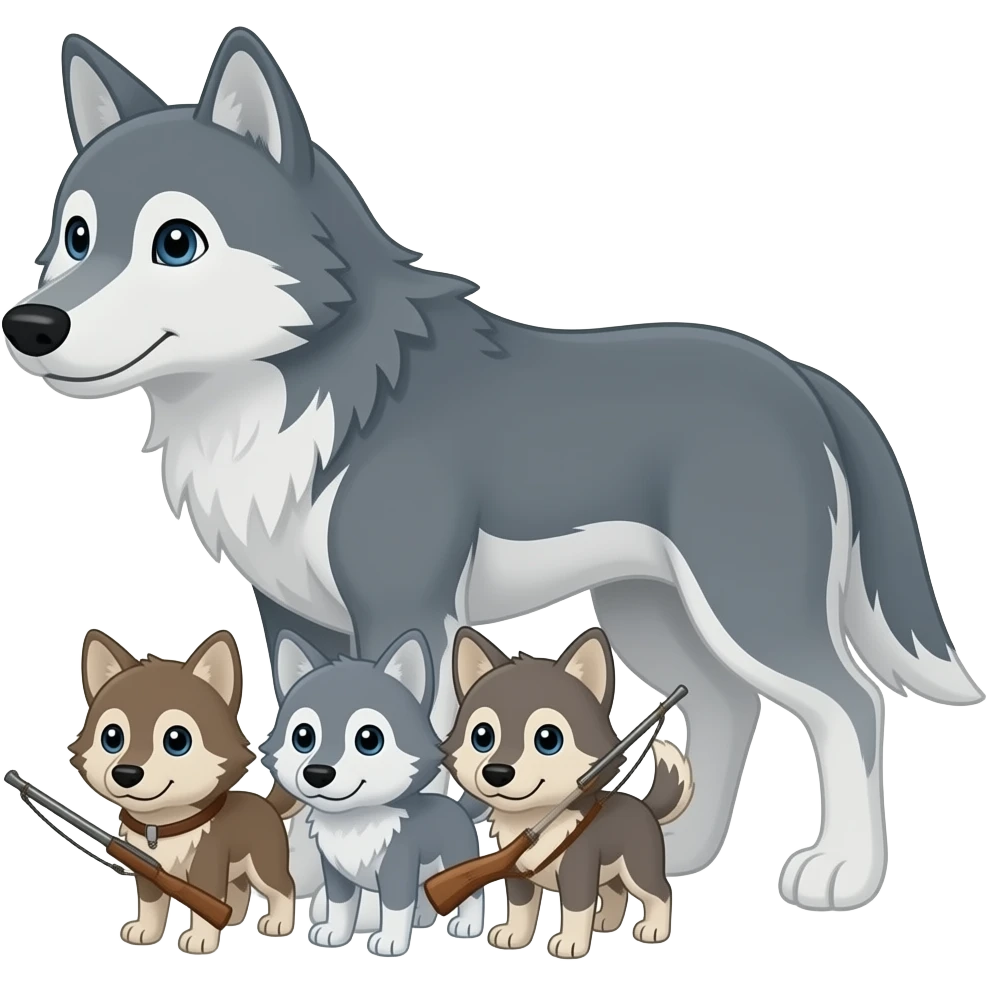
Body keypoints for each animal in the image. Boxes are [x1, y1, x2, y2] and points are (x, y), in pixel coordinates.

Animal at [3, 27, 981, 917]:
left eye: (175, 242)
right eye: (75, 235)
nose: (31, 325)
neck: (311, 401)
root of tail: (802, 376)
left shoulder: (407, 607)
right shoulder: (290, 615)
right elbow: (298, 742)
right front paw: (306, 879)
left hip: (748, 604)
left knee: (849, 702)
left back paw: (841, 872)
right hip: (654, 613)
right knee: (726, 704)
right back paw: (678, 850)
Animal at [68, 628, 297, 954]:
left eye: (177, 740)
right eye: (112, 737)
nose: (126, 773)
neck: (162, 827)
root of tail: (265, 804)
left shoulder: (206, 865)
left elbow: (204, 901)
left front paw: (201, 939)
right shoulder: (147, 873)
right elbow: (151, 905)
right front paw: (145, 932)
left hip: (263, 862)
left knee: (282, 887)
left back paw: (277, 923)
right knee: (239, 887)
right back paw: (233, 917)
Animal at [260, 628, 485, 956]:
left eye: (369, 740)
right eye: (303, 737)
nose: (317, 773)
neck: (354, 822)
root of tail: (453, 805)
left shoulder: (398, 866)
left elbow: (394, 907)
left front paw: (391, 942)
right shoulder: (334, 871)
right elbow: (340, 905)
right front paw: (334, 934)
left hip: (457, 858)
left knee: (472, 893)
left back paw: (468, 926)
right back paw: (423, 917)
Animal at [444, 626, 693, 959]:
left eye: (548, 739)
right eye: (482, 736)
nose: (496, 773)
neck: (536, 819)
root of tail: (644, 806)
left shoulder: (578, 866)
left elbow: (575, 907)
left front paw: (571, 943)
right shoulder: (516, 872)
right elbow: (521, 907)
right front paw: (514, 936)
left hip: (637, 866)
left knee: (659, 891)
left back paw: (653, 929)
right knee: (616, 891)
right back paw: (606, 922)